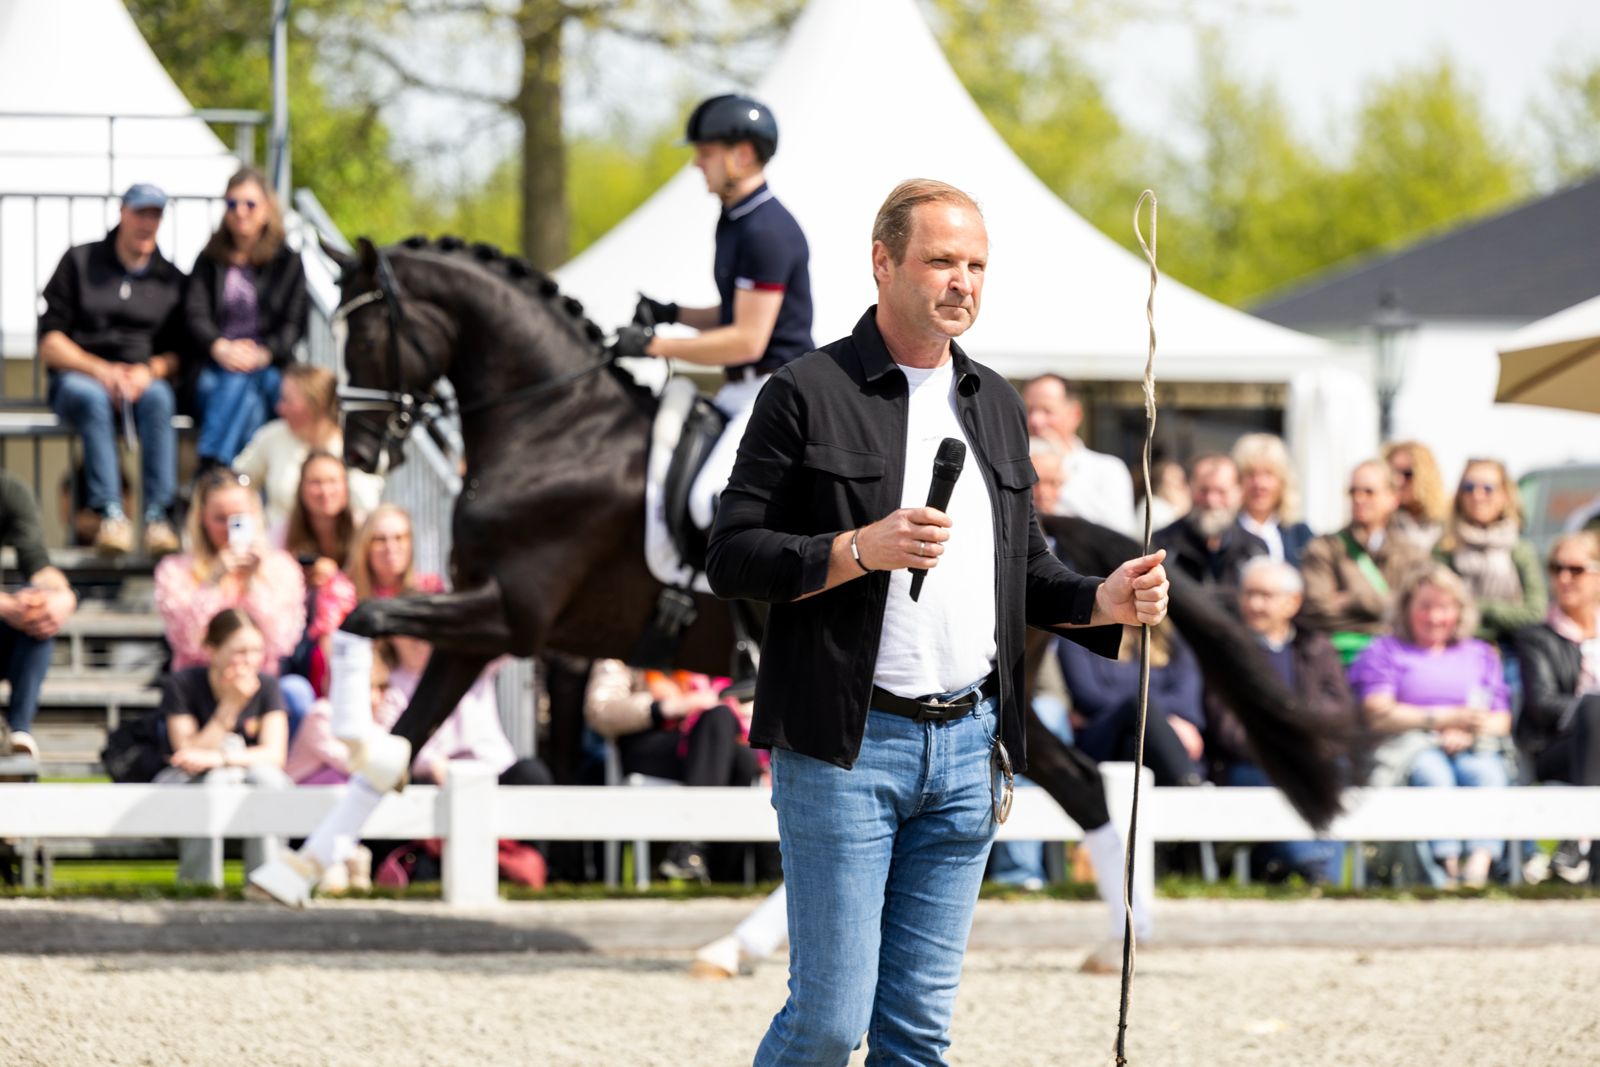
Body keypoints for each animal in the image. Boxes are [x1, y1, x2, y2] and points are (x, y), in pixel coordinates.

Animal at [327, 235, 1342, 828]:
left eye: (365, 333)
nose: (358, 449)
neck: (553, 427)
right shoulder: (489, 621)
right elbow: (396, 740)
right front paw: (301, 859)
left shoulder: (511, 613)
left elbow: (368, 621)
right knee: (1076, 783)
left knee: (1078, 785)